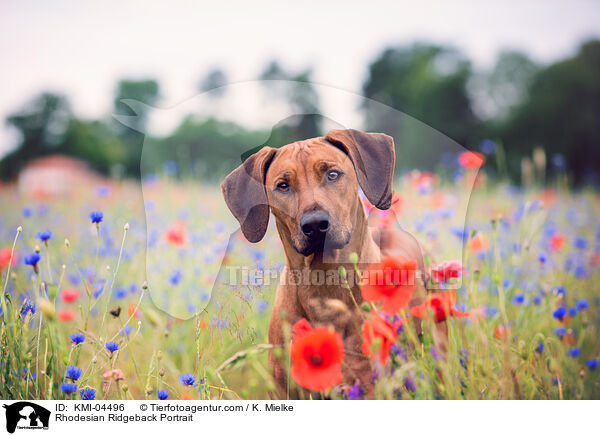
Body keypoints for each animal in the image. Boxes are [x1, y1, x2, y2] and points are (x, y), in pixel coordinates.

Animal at [221, 129, 446, 398]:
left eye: (333, 174)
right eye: (283, 186)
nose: (315, 224)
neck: (325, 284)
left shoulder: (369, 384)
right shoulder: (285, 389)